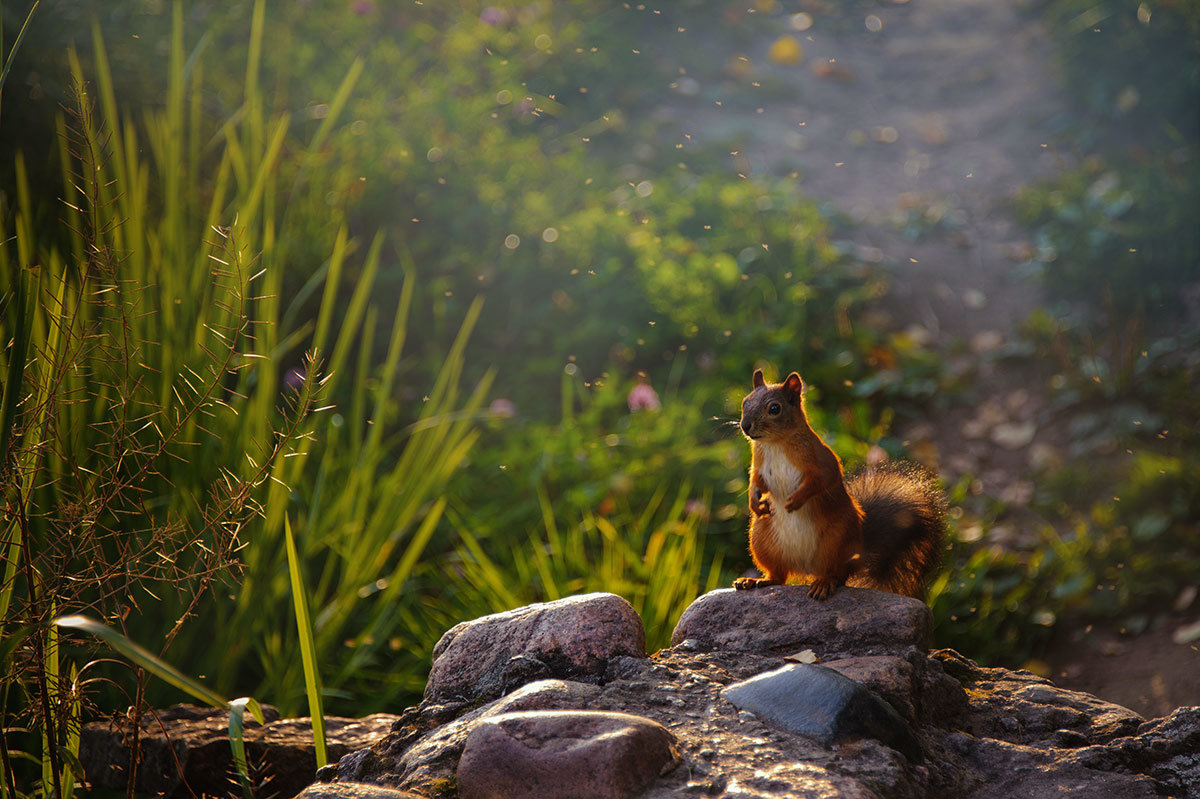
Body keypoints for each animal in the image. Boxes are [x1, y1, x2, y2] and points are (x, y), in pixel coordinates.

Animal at [729, 367, 945, 597]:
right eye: (745, 402)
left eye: (774, 408)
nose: (745, 426)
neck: (774, 444)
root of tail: (806, 568)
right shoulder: (758, 466)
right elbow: (755, 482)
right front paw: (754, 503)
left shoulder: (821, 460)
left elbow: (821, 480)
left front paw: (795, 500)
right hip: (761, 540)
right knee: (779, 576)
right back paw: (755, 580)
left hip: (835, 542)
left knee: (838, 574)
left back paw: (824, 583)